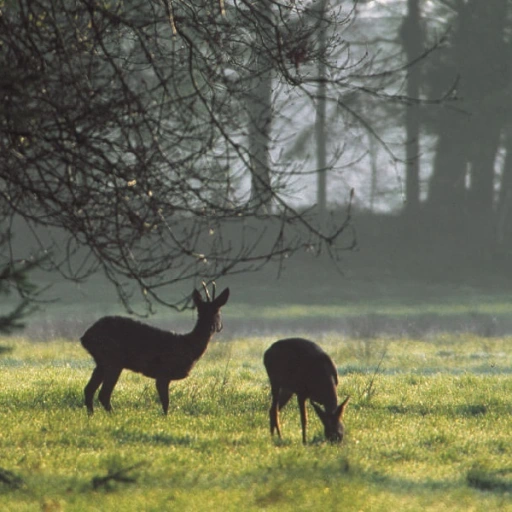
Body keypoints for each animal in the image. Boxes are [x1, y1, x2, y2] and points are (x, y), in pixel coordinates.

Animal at [80, 282, 230, 414]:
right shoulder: (163, 373)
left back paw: (91, 415)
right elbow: (166, 403)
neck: (188, 345)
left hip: (101, 362)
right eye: (219, 312)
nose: (218, 327)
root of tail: (85, 337)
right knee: (103, 394)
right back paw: (114, 415)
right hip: (112, 359)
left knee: (89, 390)